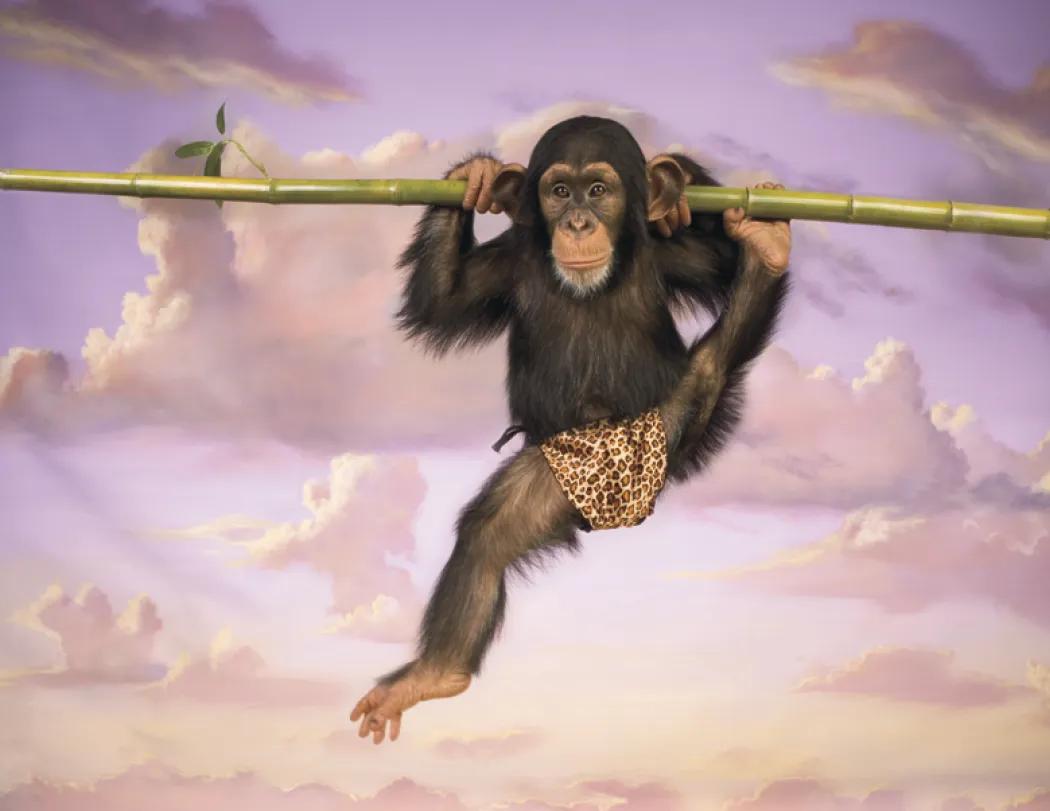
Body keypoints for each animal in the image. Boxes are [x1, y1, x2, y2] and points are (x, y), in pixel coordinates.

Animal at [350, 116, 790, 744]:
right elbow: (442, 300)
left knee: (716, 359)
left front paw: (681, 186)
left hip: (668, 430)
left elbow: (720, 261)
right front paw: (474, 176)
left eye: (599, 190)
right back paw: (436, 674)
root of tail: (626, 510)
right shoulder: (506, 264)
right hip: (562, 473)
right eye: (559, 191)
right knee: (488, 537)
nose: (578, 221)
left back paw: (768, 248)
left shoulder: (680, 259)